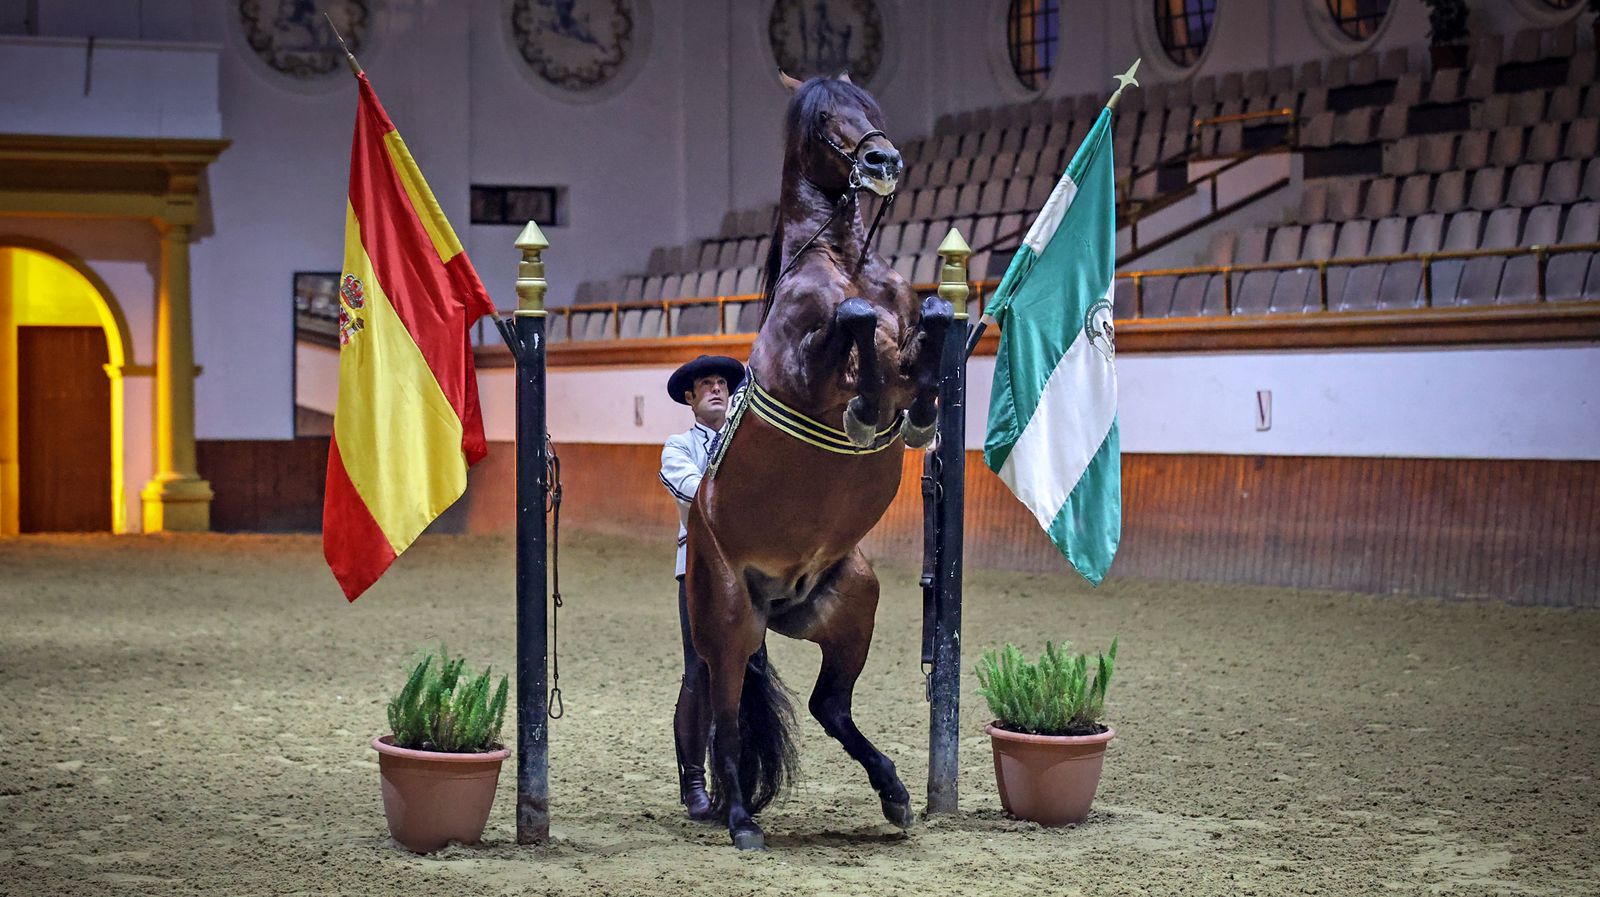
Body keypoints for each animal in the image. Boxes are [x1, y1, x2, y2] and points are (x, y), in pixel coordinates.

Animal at [680, 72, 953, 851]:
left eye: (871, 107)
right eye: (829, 116)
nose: (883, 160)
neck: (844, 263)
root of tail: (776, 597)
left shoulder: (912, 322)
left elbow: (931, 324)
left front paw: (919, 412)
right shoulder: (807, 368)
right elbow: (859, 329)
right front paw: (870, 405)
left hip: (852, 604)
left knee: (830, 705)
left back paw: (895, 793)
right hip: (727, 624)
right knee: (727, 715)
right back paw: (741, 822)